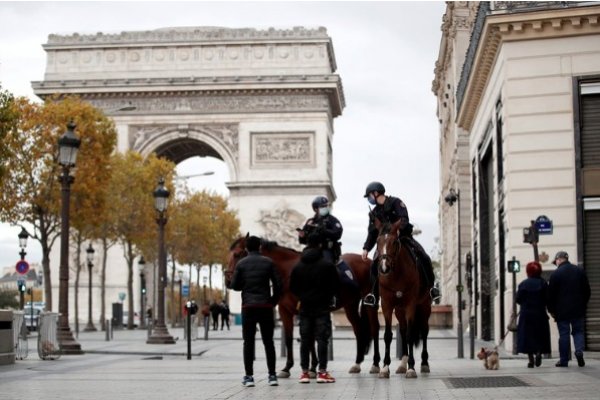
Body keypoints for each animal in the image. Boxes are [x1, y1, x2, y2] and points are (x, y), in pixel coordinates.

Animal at [226, 236, 380, 380]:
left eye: (237, 254)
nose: (228, 281)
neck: (288, 271)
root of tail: (368, 260)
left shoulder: (304, 309)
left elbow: (309, 337)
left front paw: (312, 368)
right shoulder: (285, 311)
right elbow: (289, 338)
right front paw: (287, 367)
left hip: (370, 303)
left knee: (374, 329)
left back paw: (375, 364)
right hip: (350, 305)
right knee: (359, 330)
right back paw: (357, 363)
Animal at [370, 219, 432, 378]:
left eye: (394, 242)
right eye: (378, 241)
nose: (384, 268)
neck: (397, 274)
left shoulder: (411, 305)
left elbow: (410, 335)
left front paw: (412, 367)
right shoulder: (387, 305)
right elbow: (388, 335)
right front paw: (385, 367)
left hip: (424, 306)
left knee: (424, 331)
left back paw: (424, 363)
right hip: (399, 310)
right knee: (403, 331)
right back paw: (402, 364)